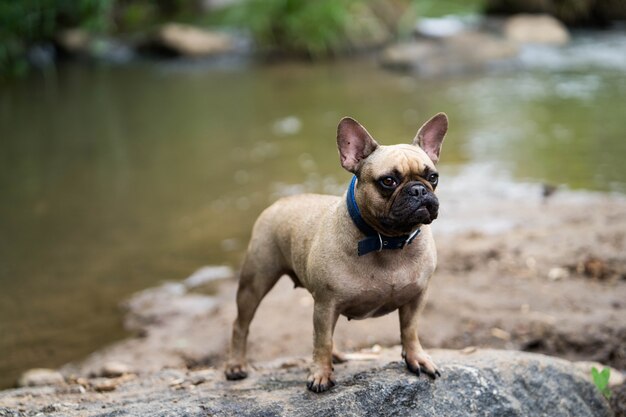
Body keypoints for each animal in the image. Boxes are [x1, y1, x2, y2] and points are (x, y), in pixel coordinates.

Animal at [223, 112, 444, 392]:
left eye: (433, 177)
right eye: (388, 181)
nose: (418, 189)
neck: (388, 240)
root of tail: (282, 201)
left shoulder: (416, 297)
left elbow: (410, 329)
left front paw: (417, 357)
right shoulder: (327, 303)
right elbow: (322, 341)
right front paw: (320, 374)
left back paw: (337, 356)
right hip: (255, 281)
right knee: (241, 324)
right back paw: (236, 366)